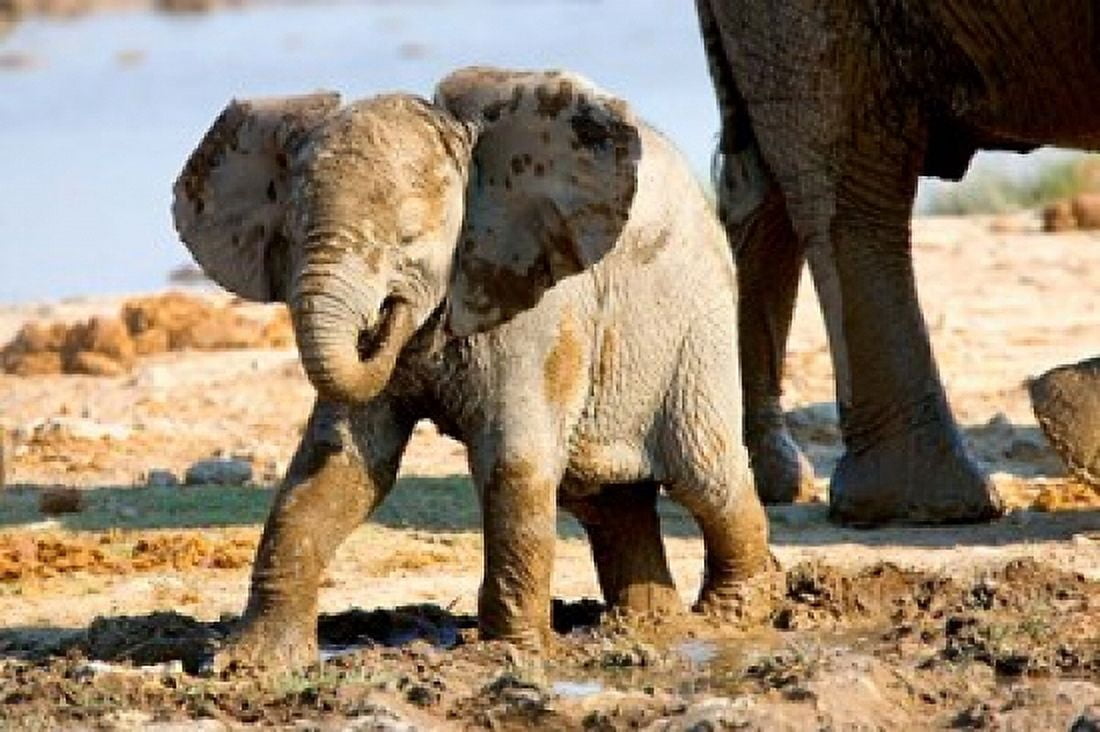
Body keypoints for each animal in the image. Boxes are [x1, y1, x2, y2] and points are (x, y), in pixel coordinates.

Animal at [172, 66, 774, 669]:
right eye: (290, 234)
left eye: (410, 237)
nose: (386, 317)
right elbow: (336, 465)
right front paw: (247, 663)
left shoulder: (534, 302)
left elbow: (513, 461)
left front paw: (508, 655)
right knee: (605, 500)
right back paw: (648, 627)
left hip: (698, 327)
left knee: (705, 475)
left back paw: (728, 619)